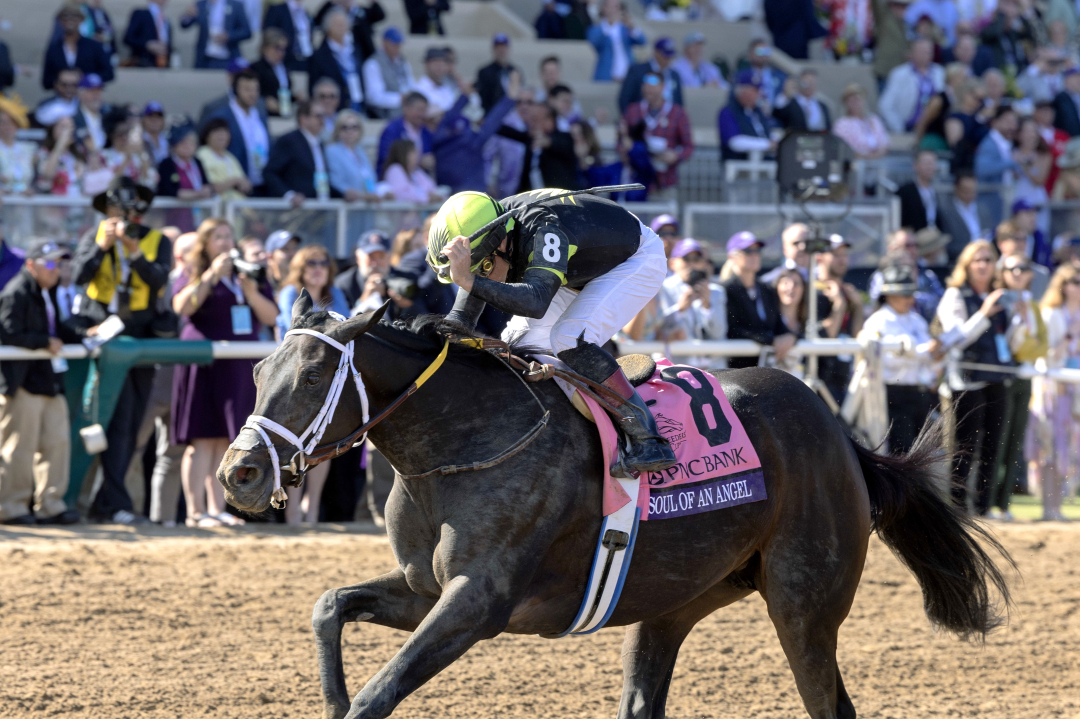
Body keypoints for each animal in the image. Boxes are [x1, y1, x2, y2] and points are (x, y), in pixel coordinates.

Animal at [217, 295, 1010, 716]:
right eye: (256, 371)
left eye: (312, 375)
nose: (240, 474)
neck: (459, 445)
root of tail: (841, 435)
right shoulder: (427, 589)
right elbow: (328, 604)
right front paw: (328, 693)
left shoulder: (478, 600)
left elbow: (379, 693)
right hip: (674, 598)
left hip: (804, 603)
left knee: (827, 699)